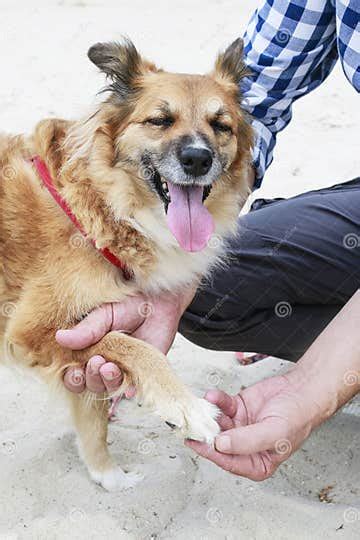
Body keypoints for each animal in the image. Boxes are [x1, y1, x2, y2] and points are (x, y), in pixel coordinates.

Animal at [0, 39, 253, 490]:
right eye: (160, 120)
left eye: (220, 125)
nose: (197, 159)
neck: (102, 209)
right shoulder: (33, 330)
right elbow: (136, 347)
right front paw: (186, 406)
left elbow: (94, 414)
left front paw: (108, 475)